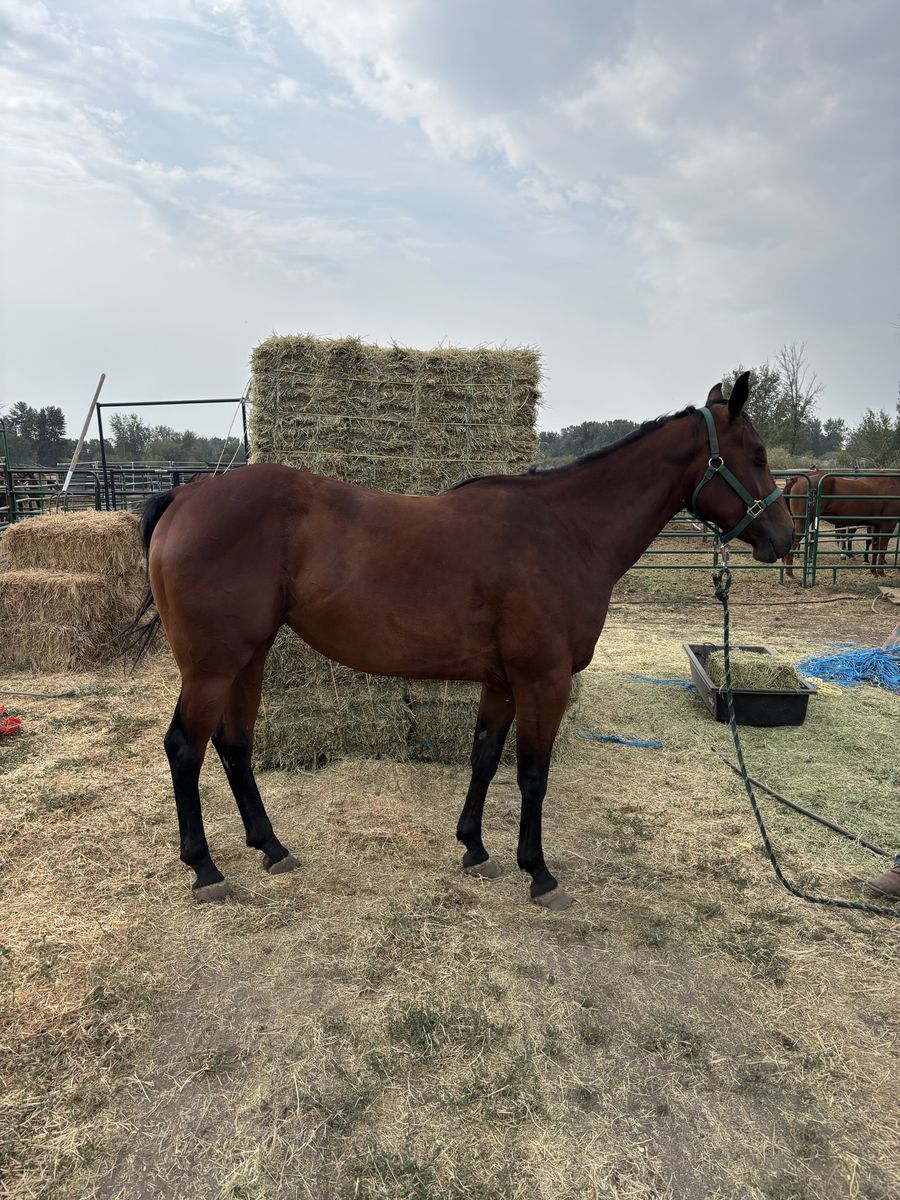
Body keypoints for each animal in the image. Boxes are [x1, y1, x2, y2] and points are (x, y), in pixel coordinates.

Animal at [127, 372, 793, 907]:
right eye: (758, 455)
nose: (782, 538)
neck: (566, 531)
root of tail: (186, 493)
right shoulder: (543, 679)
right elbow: (532, 773)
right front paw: (539, 873)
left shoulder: (502, 680)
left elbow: (484, 757)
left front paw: (474, 848)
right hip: (212, 667)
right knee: (185, 748)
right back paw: (206, 869)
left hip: (249, 658)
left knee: (234, 745)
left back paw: (271, 847)